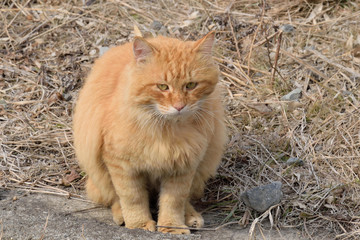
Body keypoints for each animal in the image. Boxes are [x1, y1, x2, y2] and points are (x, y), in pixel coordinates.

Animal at [72, 31, 225, 233]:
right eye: (162, 87)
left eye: (191, 85)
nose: (179, 106)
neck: (166, 130)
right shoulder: (121, 164)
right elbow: (132, 198)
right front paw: (139, 224)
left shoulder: (184, 165)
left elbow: (174, 201)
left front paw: (172, 226)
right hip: (99, 176)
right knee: (113, 199)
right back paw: (122, 216)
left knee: (185, 201)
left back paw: (191, 217)